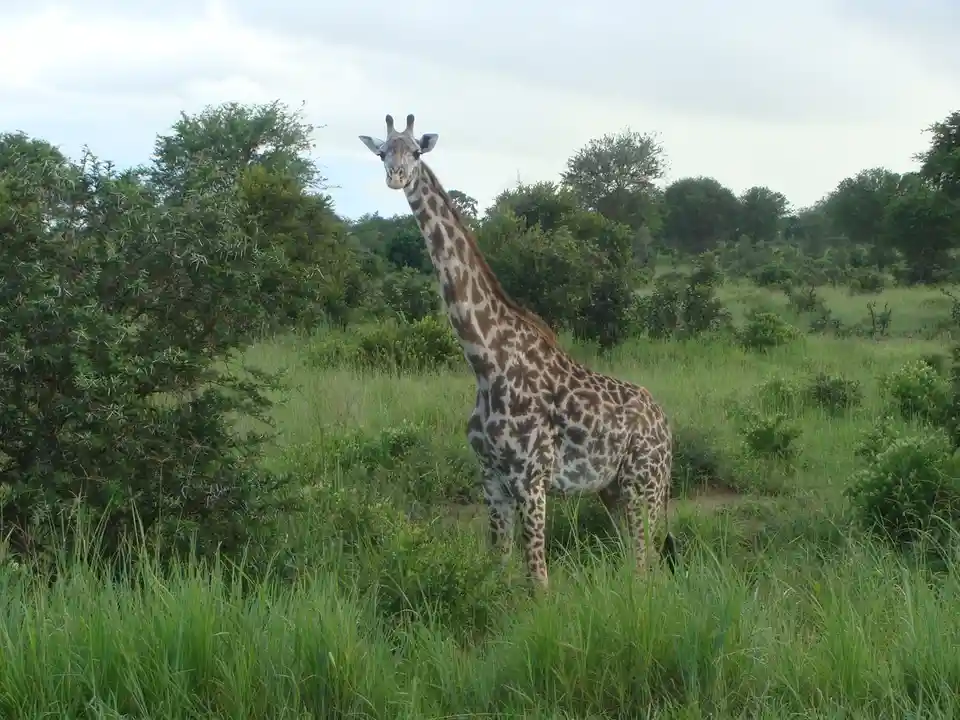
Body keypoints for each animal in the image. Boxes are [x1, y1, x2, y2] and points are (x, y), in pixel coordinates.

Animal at [358, 113, 676, 590]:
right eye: (382, 152)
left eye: (415, 151)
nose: (396, 176)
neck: (485, 362)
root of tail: (665, 424)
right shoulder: (491, 478)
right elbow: (498, 567)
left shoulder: (532, 480)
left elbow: (538, 582)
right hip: (614, 489)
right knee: (637, 559)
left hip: (646, 484)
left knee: (646, 563)